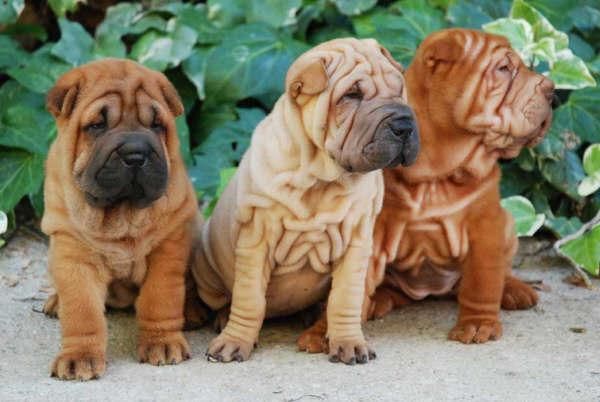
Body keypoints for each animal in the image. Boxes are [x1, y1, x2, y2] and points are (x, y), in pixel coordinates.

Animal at [42, 57, 197, 380]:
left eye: (156, 125)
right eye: (97, 125)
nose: (136, 153)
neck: (121, 215)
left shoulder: (167, 250)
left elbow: (160, 298)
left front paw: (163, 343)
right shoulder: (72, 254)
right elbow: (82, 312)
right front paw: (79, 357)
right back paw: (55, 302)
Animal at [190, 37, 420, 364]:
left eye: (399, 88)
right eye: (352, 95)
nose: (403, 125)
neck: (321, 178)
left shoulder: (357, 244)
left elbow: (345, 299)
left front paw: (349, 342)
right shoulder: (256, 240)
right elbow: (249, 300)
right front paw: (234, 341)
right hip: (206, 265)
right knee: (224, 299)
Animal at [298, 28, 556, 350]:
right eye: (503, 68)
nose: (554, 92)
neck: (437, 174)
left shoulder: (487, 226)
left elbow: (483, 280)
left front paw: (478, 324)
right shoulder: (372, 230)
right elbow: (347, 288)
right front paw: (323, 332)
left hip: (508, 223)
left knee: (493, 274)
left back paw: (513, 290)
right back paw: (378, 300)